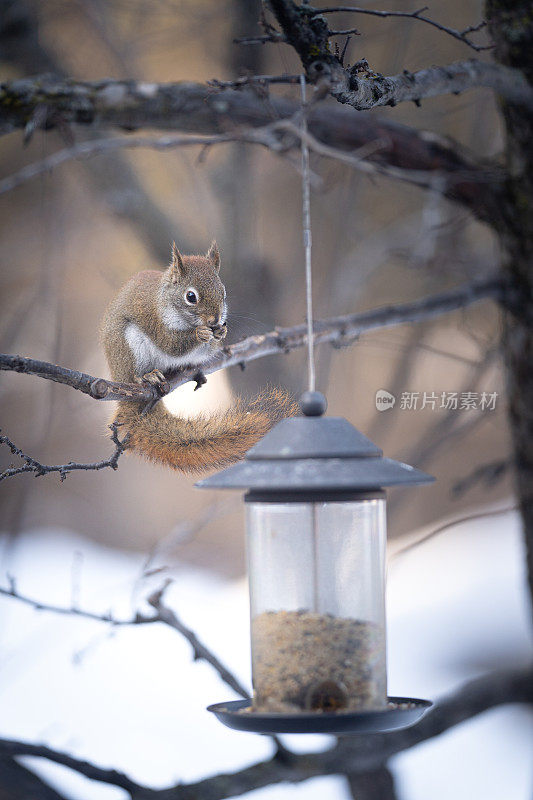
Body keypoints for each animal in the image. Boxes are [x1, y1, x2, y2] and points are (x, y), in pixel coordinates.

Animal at [99, 241, 298, 472]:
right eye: (191, 297)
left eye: (223, 292)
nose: (215, 320)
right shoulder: (155, 321)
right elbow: (171, 345)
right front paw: (200, 334)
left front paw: (220, 334)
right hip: (130, 348)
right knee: (135, 374)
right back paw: (147, 376)